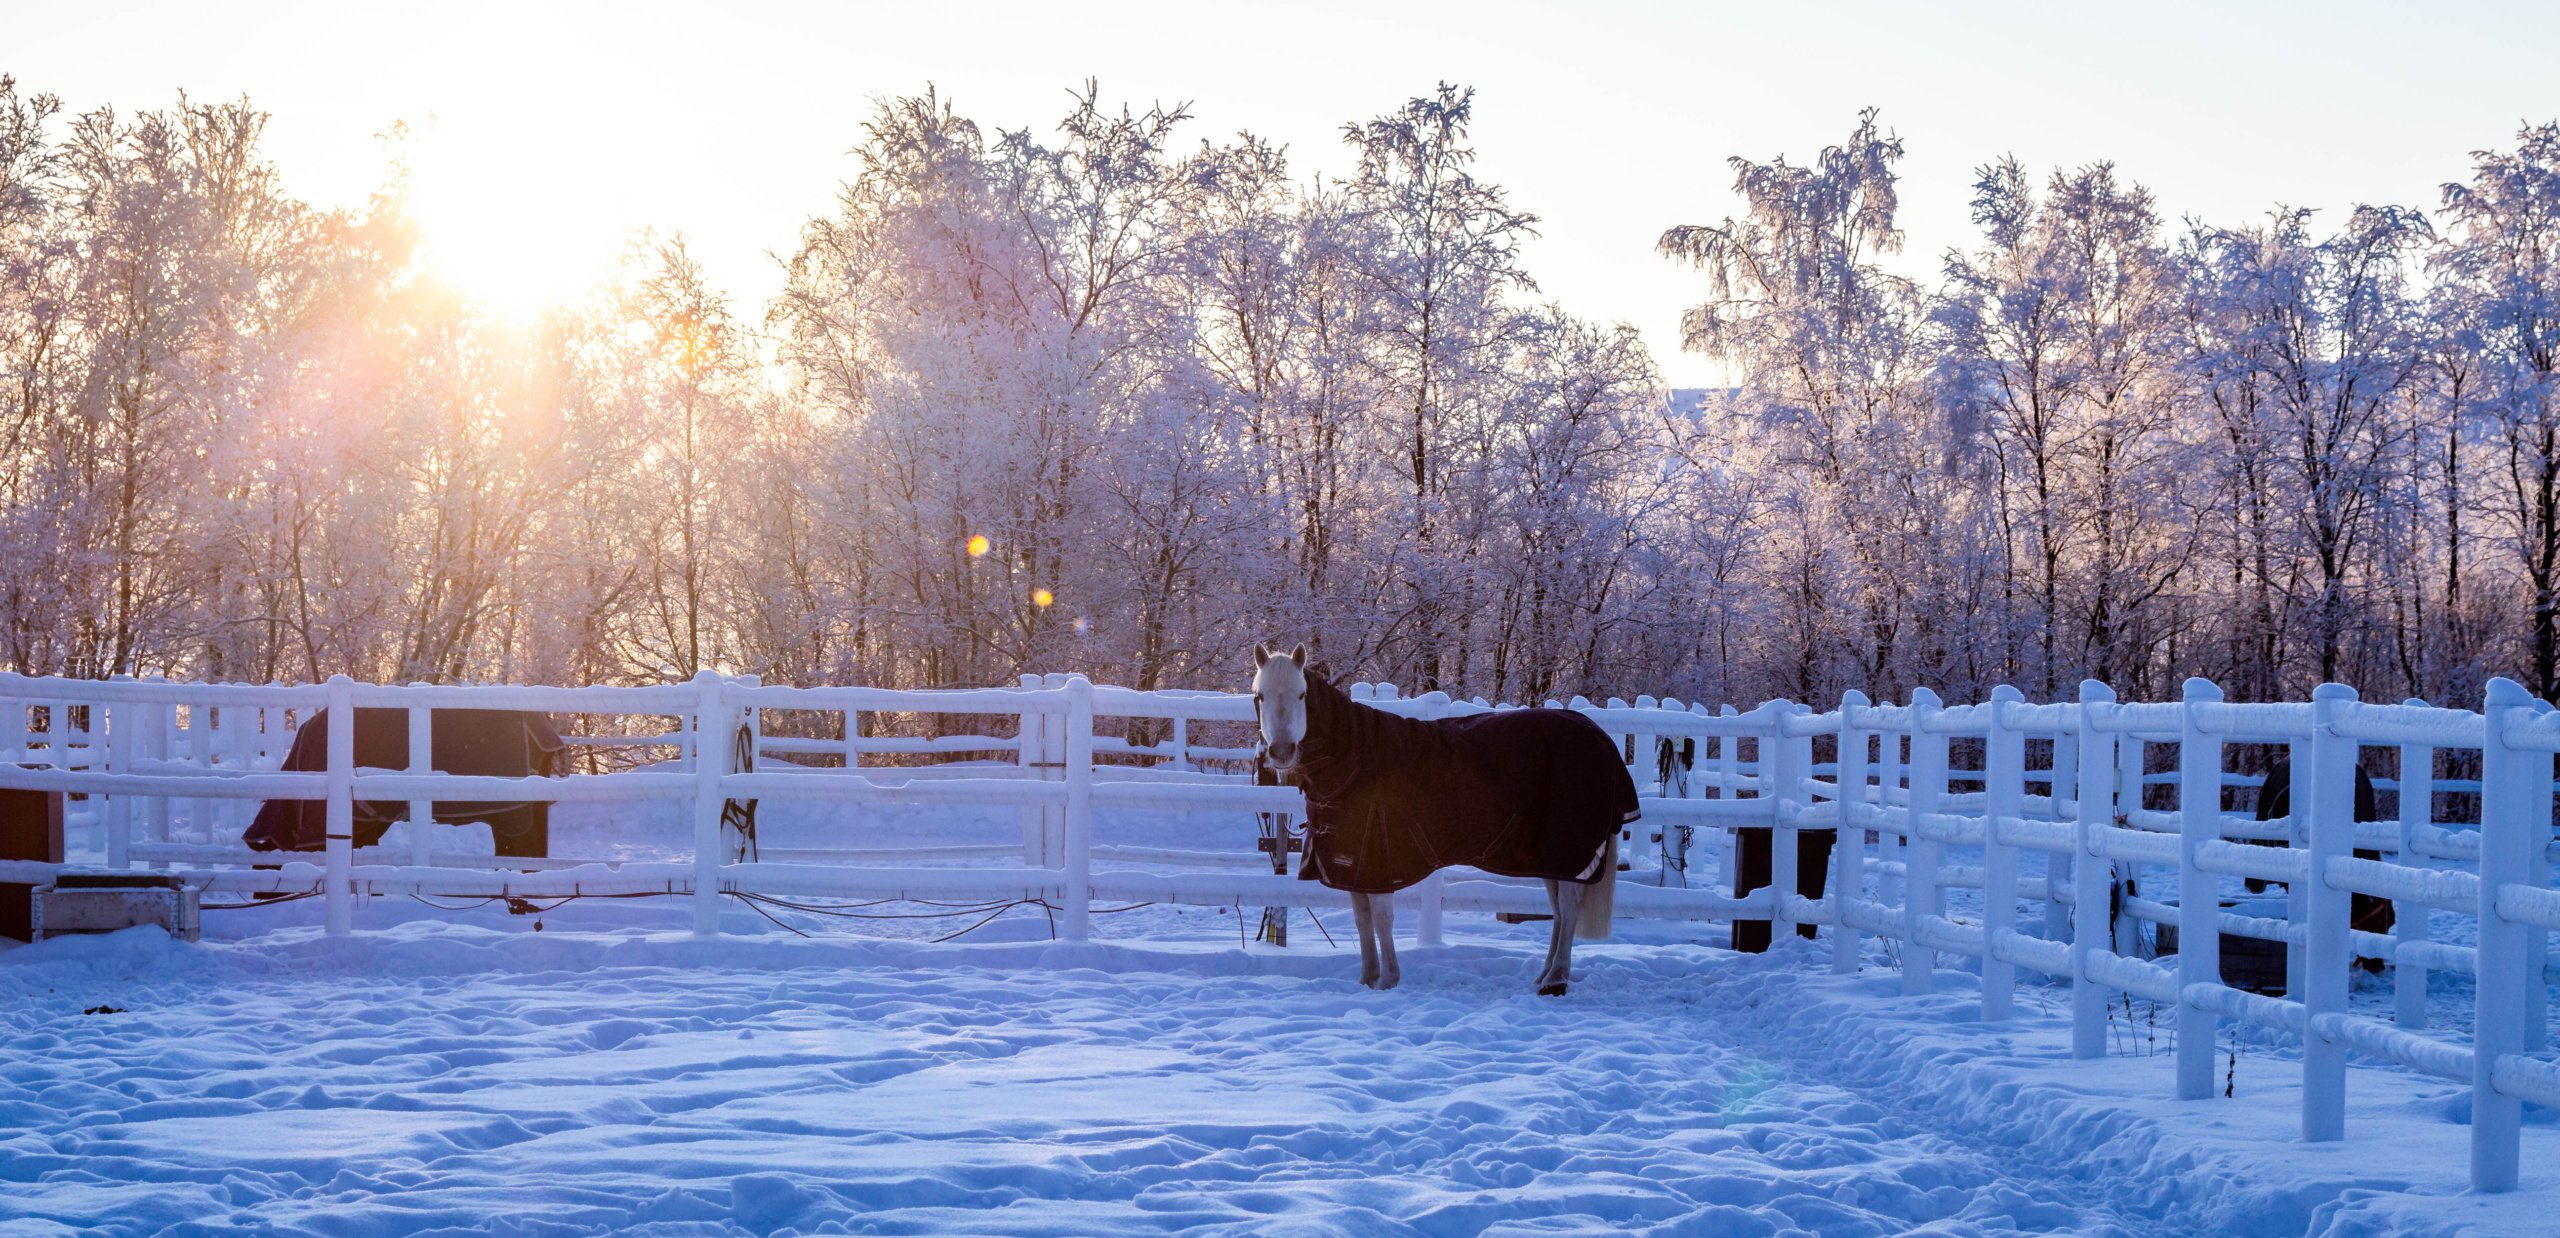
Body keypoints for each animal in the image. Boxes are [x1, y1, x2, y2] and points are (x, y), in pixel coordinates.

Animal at [1250, 642, 1639, 995]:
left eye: (1302, 694)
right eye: (1260, 696)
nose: (1281, 752)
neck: (1354, 759)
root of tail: (1597, 734)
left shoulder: (1376, 862)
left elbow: (1382, 920)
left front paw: (1388, 980)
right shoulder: (1352, 867)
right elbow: (1362, 921)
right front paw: (1368, 979)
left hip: (1567, 850)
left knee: (1569, 907)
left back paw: (1556, 980)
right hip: (1550, 857)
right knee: (1557, 910)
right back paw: (1544, 975)